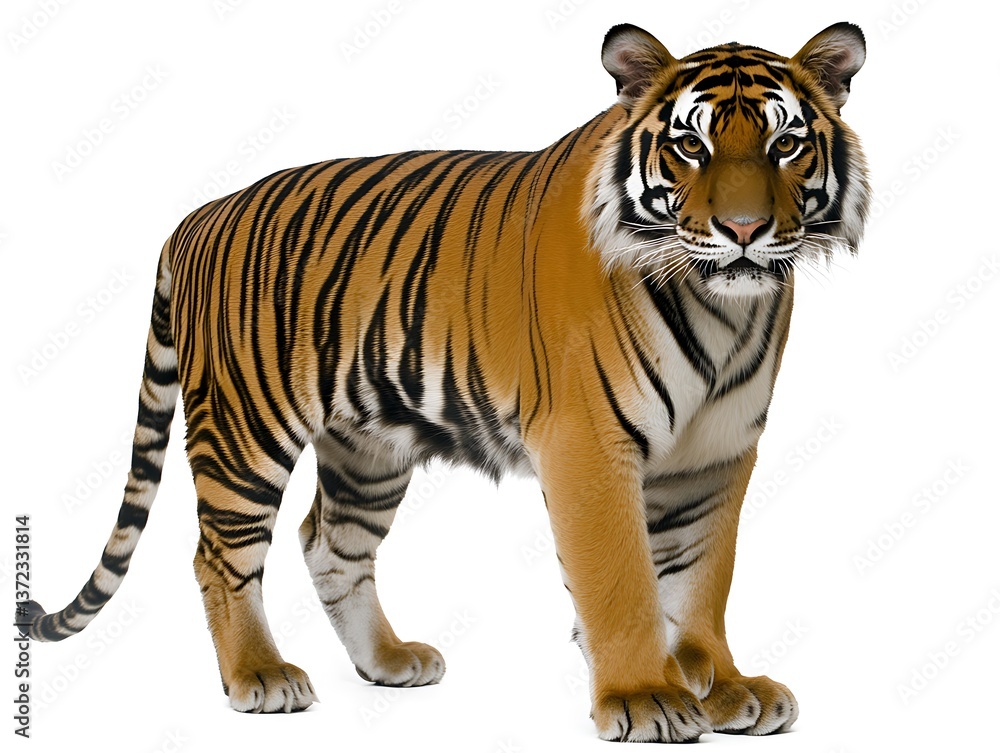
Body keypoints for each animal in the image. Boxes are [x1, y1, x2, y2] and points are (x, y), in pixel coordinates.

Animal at [16, 21, 870, 743]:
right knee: (220, 552)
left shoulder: (717, 454)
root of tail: (196, 217)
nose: (744, 231)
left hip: (368, 448)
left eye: (786, 144)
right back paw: (259, 674)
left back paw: (387, 661)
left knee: (329, 542)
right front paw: (643, 695)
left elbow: (701, 578)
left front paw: (723, 685)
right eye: (691, 146)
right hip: (244, 427)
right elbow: (621, 576)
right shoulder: (589, 444)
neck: (722, 307)